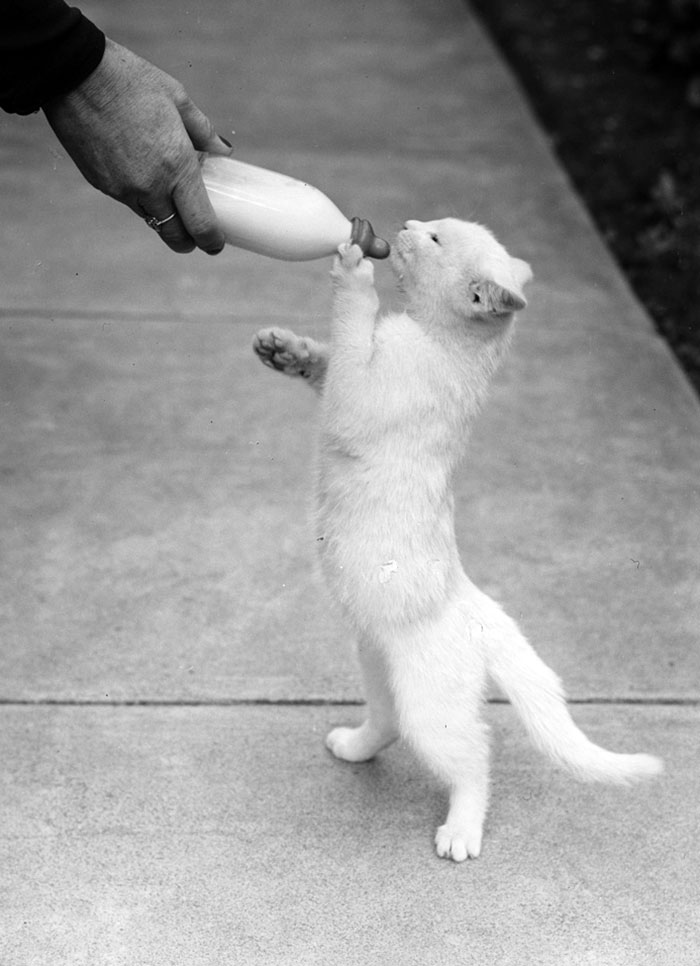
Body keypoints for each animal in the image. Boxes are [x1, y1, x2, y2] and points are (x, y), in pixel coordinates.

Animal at [253, 217, 660, 864]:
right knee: (389, 724)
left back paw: (462, 832)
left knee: (475, 760)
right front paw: (284, 349)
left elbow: (350, 335)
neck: (437, 339)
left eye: (437, 239)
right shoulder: (351, 382)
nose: (404, 226)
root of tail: (474, 607)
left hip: (433, 710)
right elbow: (329, 359)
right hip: (378, 666)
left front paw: (354, 272)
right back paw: (353, 747)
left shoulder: (362, 396)